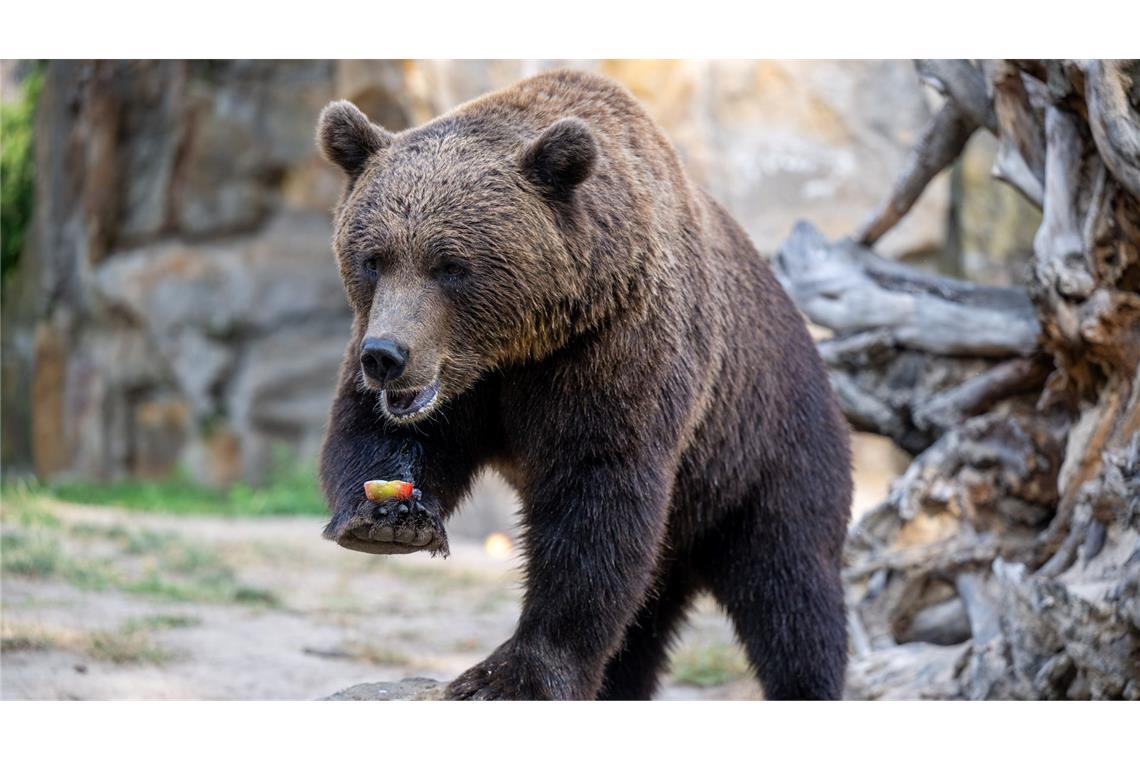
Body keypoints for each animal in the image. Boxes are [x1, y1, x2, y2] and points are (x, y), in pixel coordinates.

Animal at [316, 71, 852, 701]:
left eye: (451, 265)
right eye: (374, 258)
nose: (387, 357)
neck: (520, 346)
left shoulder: (616, 351)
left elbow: (596, 504)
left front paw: (507, 676)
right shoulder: (452, 377)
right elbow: (375, 430)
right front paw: (388, 517)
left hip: (765, 449)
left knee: (790, 590)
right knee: (647, 620)